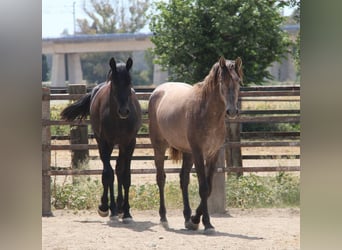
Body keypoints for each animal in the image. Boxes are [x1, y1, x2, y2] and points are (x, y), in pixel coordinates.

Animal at [60, 57, 142, 222]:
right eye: (114, 83)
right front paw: (104, 206)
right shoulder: (104, 143)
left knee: (119, 170)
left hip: (122, 146)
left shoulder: (129, 144)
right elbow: (107, 175)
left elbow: (126, 176)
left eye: (129, 82)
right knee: (110, 172)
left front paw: (127, 211)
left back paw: (120, 207)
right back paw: (113, 208)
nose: (124, 111)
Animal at [148, 56, 242, 232]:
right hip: (159, 147)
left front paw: (194, 219)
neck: (206, 113)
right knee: (161, 179)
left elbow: (209, 187)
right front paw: (207, 223)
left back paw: (186, 218)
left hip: (187, 152)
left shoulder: (213, 154)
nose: (232, 111)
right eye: (222, 81)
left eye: (238, 81)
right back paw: (164, 218)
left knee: (183, 179)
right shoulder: (199, 153)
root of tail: (158, 91)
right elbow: (203, 187)